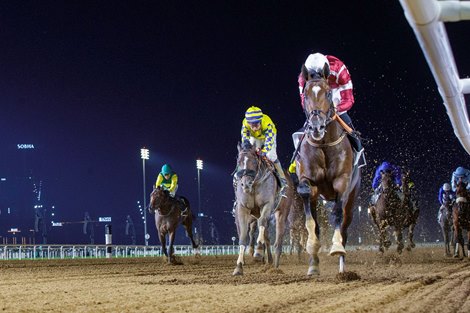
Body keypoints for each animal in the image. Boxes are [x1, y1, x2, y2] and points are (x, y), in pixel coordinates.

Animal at [232, 140, 294, 274]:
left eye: (254, 161)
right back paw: (268, 261)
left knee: (278, 240)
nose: (246, 183)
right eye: (239, 161)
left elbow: (261, 224)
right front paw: (239, 266)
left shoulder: (267, 204)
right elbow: (243, 235)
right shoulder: (242, 209)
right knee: (265, 235)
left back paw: (275, 267)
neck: (255, 185)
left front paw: (258, 251)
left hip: (282, 212)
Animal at [294, 78, 360, 276]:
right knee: (317, 223)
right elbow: (312, 220)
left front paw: (336, 246)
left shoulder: (342, 182)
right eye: (305, 94)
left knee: (344, 225)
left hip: (352, 198)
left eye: (329, 93)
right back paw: (313, 264)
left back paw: (342, 266)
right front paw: (312, 247)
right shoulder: (308, 181)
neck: (323, 144)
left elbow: (337, 212)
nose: (316, 126)